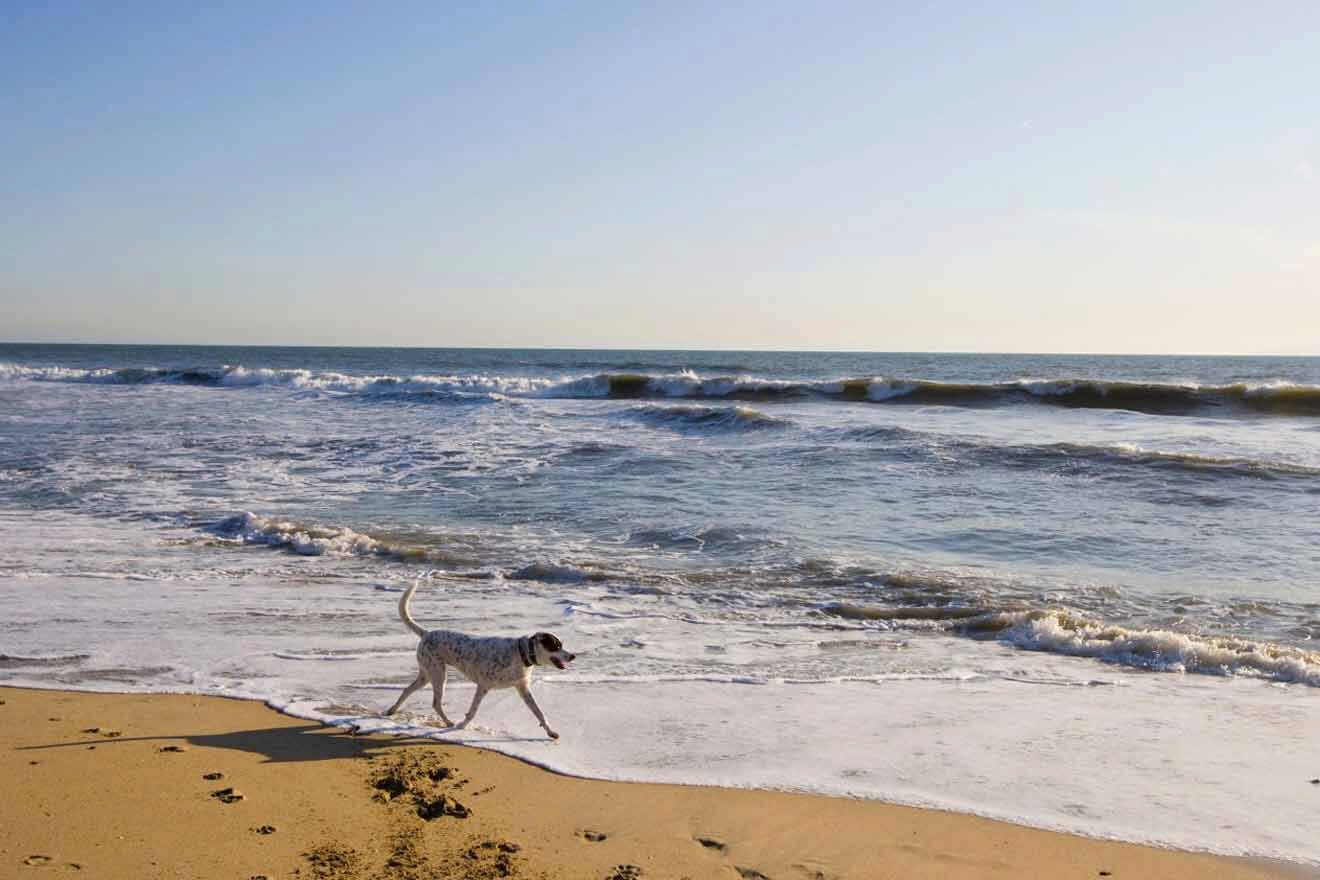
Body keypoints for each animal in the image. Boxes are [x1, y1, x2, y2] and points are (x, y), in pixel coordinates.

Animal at [380, 580, 570, 738]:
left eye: (561, 645)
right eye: (555, 646)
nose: (573, 656)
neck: (520, 654)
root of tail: (426, 633)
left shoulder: (523, 689)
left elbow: (539, 712)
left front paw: (550, 732)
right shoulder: (483, 686)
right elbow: (473, 711)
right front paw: (461, 726)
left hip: (427, 674)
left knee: (407, 690)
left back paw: (391, 711)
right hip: (438, 674)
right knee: (435, 703)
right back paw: (448, 722)